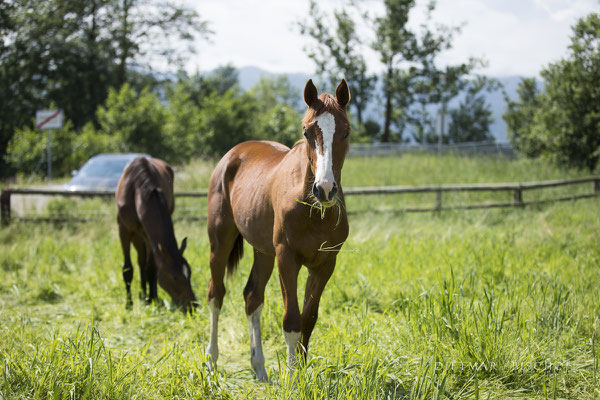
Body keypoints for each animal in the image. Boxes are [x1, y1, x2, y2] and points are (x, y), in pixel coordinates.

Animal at [115, 155, 195, 310]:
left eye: (189, 272)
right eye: (175, 277)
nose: (193, 306)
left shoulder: (149, 236)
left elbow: (151, 268)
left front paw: (152, 299)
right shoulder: (123, 230)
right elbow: (127, 269)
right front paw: (129, 304)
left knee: (144, 263)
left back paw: (147, 295)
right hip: (136, 235)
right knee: (140, 261)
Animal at [205, 79, 350, 382]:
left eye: (346, 131)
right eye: (307, 132)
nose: (325, 189)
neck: (312, 208)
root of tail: (232, 155)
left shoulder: (325, 264)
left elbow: (309, 319)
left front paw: (302, 373)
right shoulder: (287, 259)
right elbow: (291, 320)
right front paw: (293, 379)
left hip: (263, 252)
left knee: (252, 297)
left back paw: (258, 366)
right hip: (220, 242)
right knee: (216, 294)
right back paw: (211, 361)